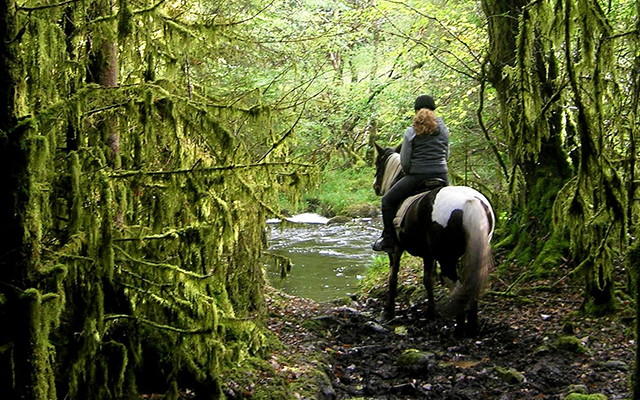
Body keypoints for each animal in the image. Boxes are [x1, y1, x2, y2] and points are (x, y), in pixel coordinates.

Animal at [370, 144, 496, 334]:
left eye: (378, 164)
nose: (375, 186)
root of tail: (470, 202)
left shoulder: (396, 250)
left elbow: (393, 277)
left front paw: (388, 311)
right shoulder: (428, 254)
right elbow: (428, 280)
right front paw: (431, 312)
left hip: (447, 259)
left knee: (458, 287)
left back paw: (459, 328)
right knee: (471, 285)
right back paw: (472, 325)